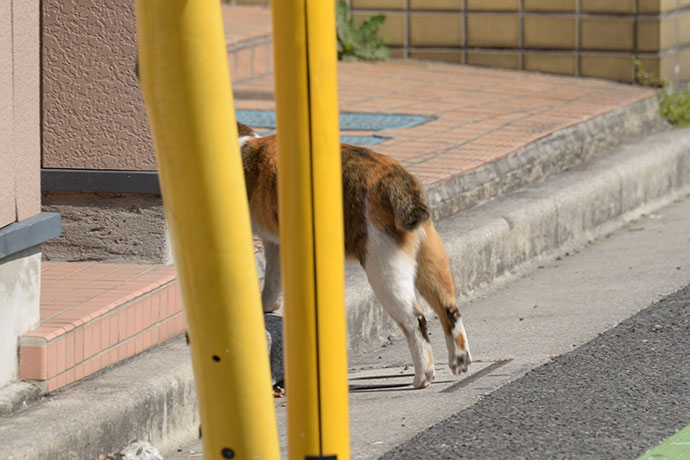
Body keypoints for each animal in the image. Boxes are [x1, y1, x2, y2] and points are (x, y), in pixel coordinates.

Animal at [236, 122, 468, 388]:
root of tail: (398, 177)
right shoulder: (274, 242)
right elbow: (273, 276)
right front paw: (267, 304)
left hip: (383, 266)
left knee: (416, 320)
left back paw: (423, 376)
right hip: (430, 260)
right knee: (449, 309)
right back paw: (459, 361)